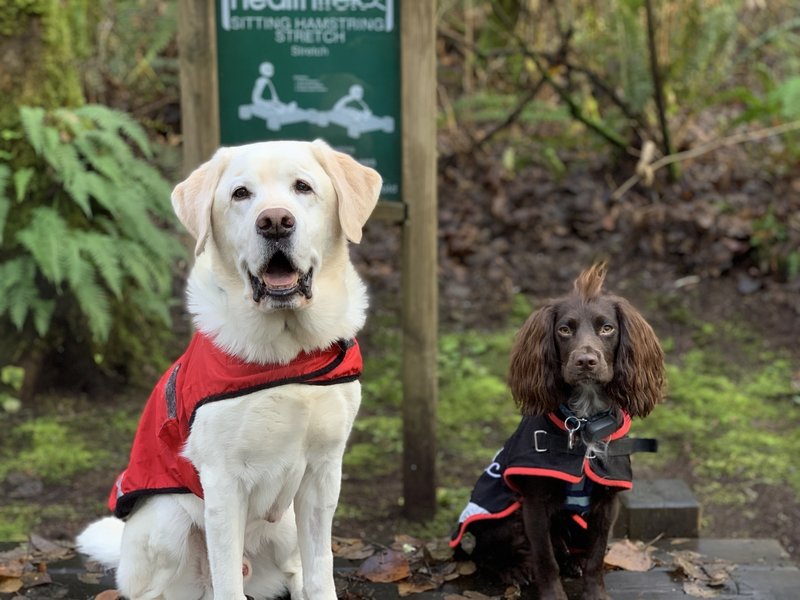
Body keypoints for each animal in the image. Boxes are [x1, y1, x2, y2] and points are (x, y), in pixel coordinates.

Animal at [77, 142, 382, 600]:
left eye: (303, 187)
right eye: (241, 194)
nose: (275, 222)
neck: (288, 353)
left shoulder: (323, 472)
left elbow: (321, 569)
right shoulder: (222, 483)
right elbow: (227, 581)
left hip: (286, 524)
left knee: (295, 569)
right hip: (166, 522)